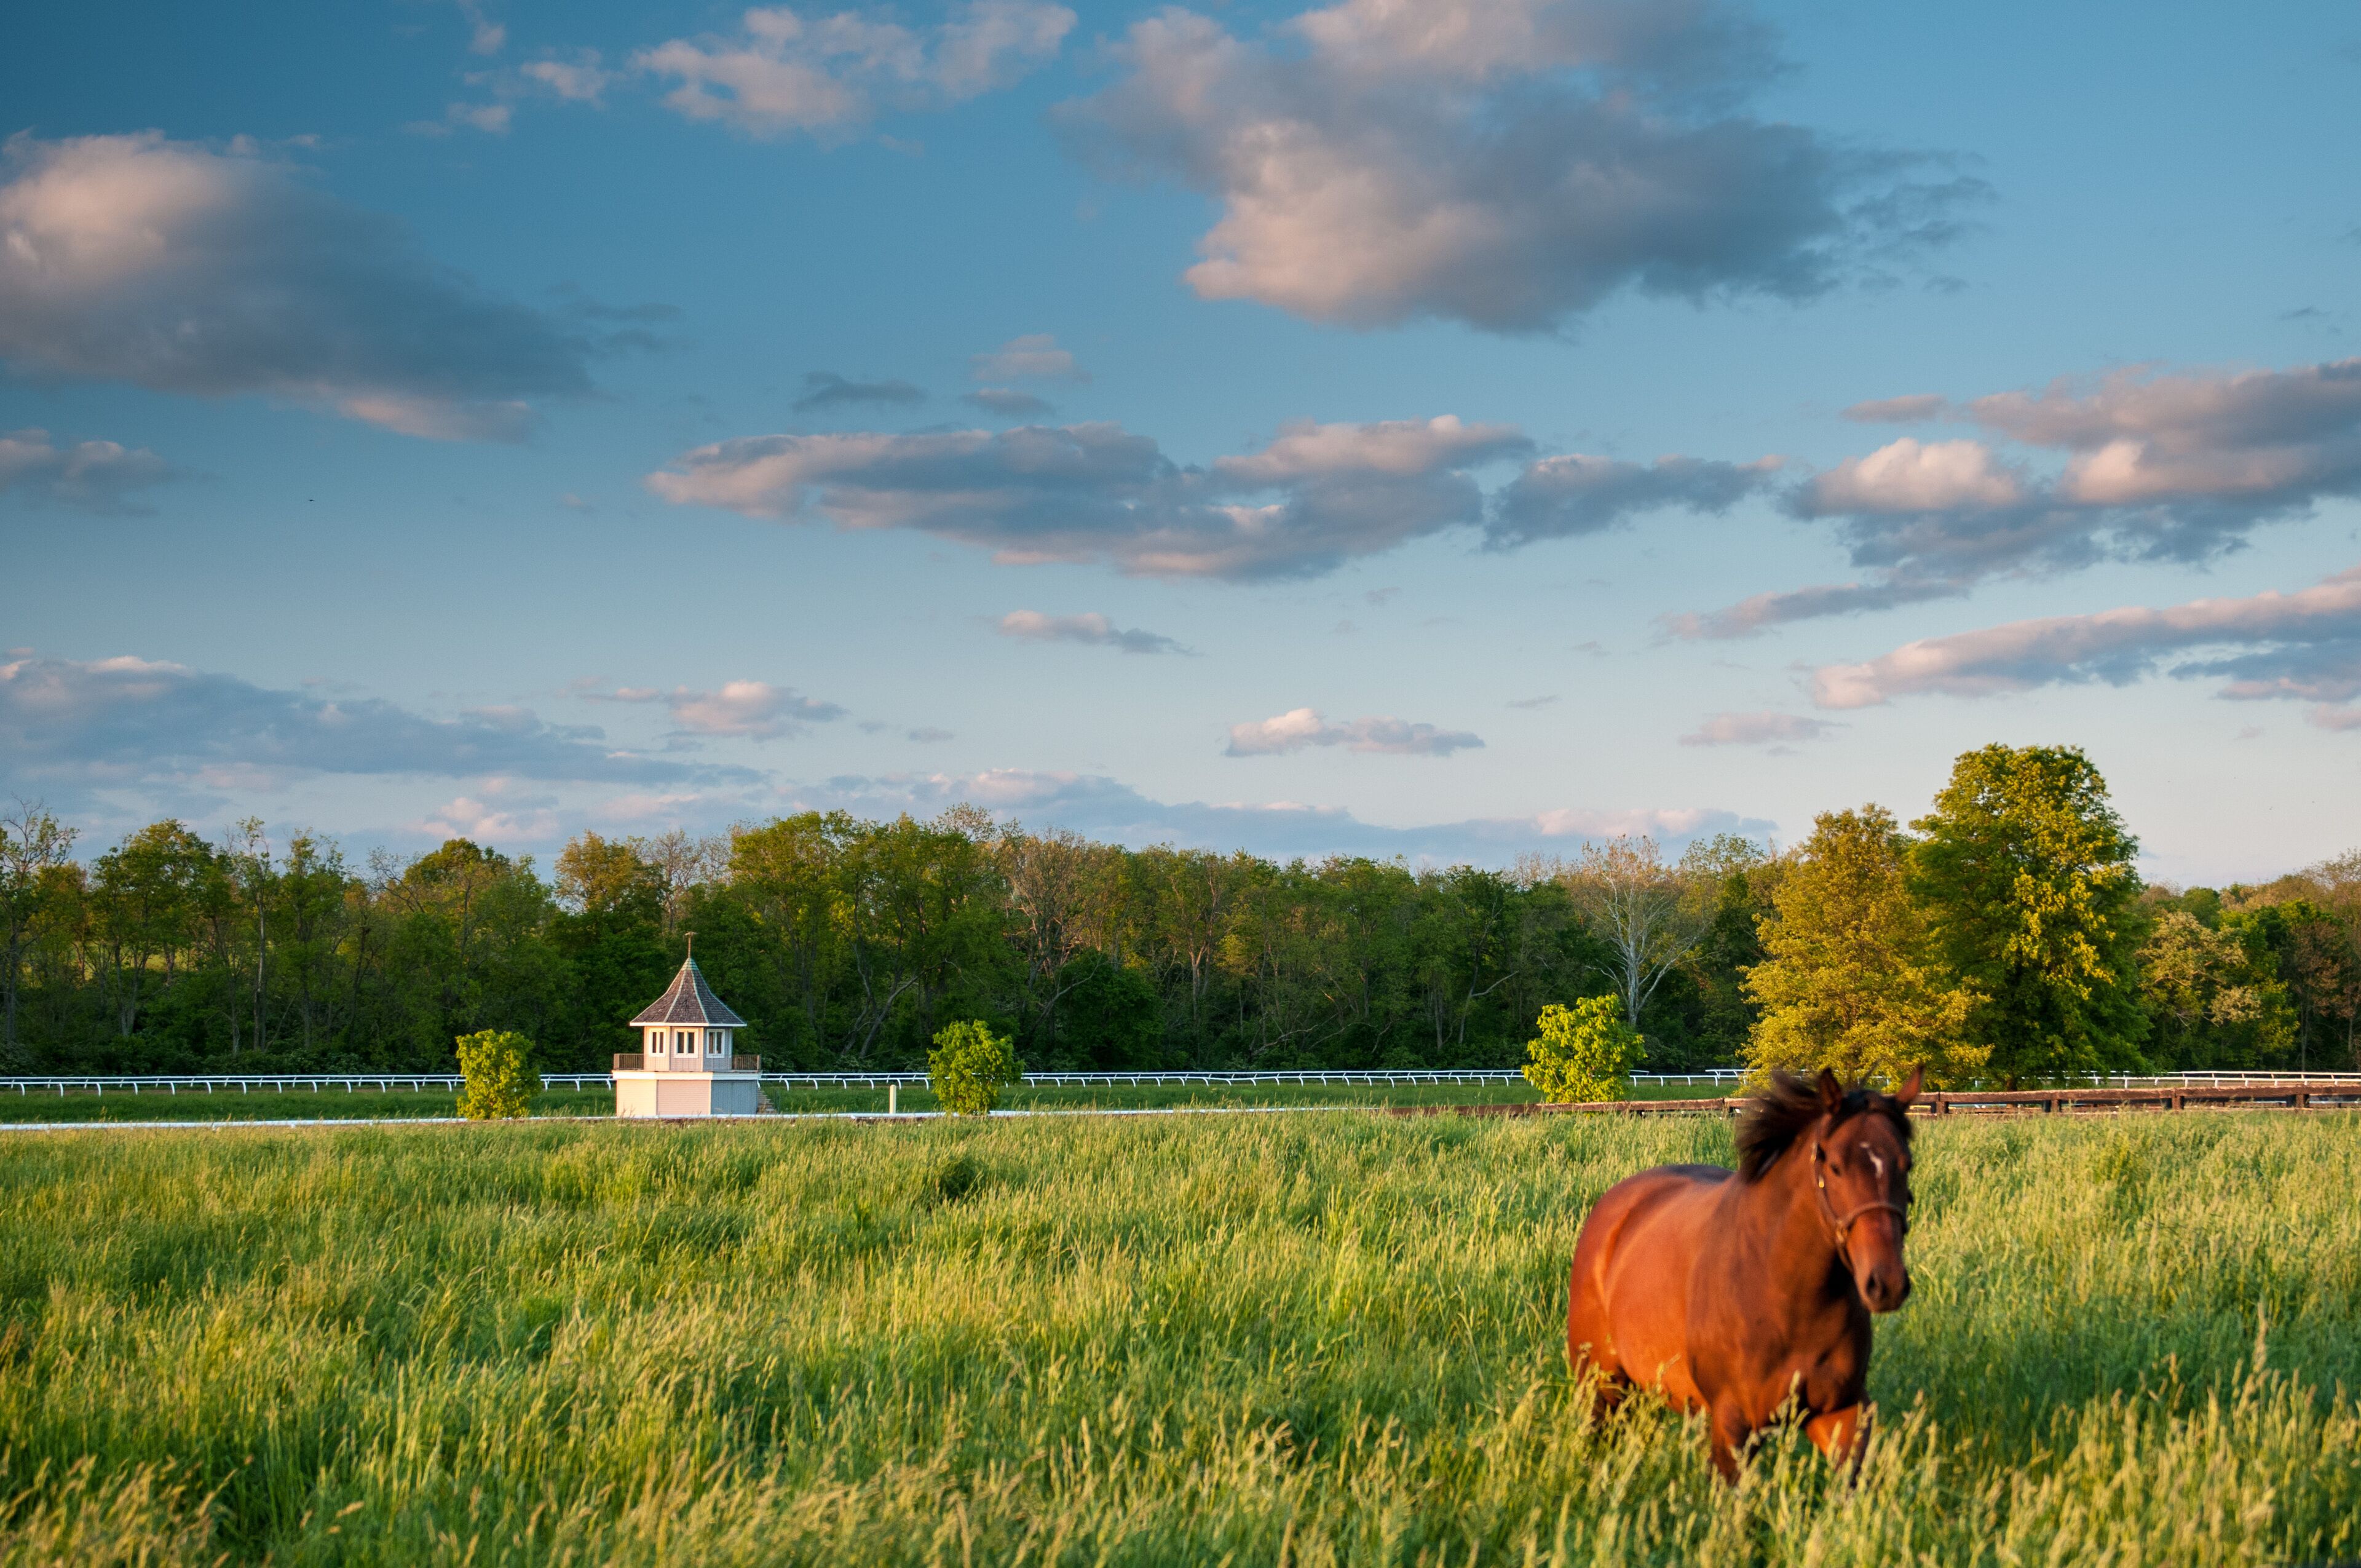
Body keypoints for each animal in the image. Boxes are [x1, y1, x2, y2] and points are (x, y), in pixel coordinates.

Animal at [1565, 1066, 1921, 1481]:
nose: (1887, 1283)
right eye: (1835, 1166)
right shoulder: (1734, 1426)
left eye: (1906, 1164)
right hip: (1601, 1387)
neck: (1787, 1296)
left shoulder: (1840, 1414)